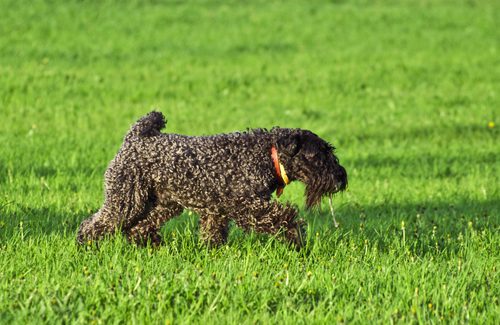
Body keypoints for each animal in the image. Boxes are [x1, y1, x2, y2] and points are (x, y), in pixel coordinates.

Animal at [77, 111, 348, 248]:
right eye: (318, 155)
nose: (341, 178)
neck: (265, 154)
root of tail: (134, 138)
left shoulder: (215, 210)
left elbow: (213, 233)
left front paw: (212, 252)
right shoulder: (247, 205)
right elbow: (282, 216)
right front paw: (296, 236)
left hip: (164, 203)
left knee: (139, 226)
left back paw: (150, 244)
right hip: (126, 199)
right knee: (97, 222)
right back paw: (86, 244)